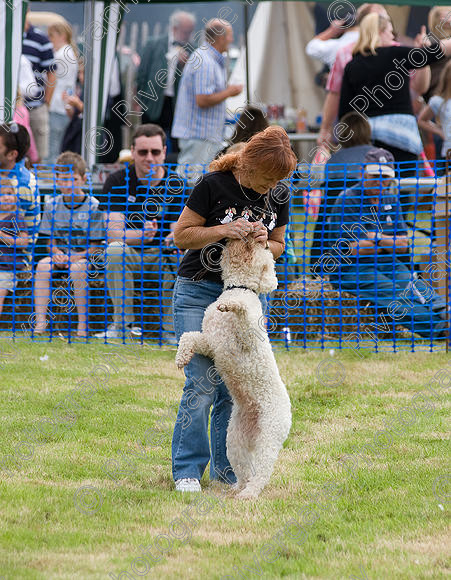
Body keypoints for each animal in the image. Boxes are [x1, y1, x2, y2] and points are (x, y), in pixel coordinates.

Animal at [175, 236, 292, 498]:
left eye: (260, 245)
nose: (247, 234)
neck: (238, 287)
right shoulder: (211, 343)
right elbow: (189, 336)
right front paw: (181, 357)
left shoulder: (249, 338)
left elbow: (243, 314)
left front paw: (234, 305)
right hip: (235, 441)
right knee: (245, 469)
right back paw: (237, 488)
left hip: (269, 435)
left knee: (261, 472)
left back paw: (249, 494)